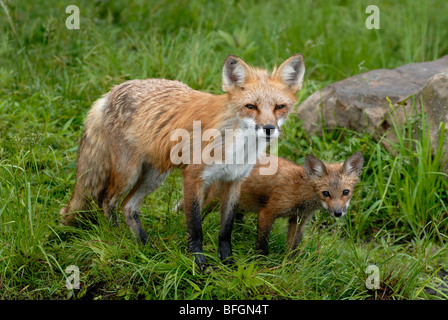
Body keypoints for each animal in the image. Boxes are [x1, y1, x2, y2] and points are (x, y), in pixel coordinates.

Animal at [60, 54, 304, 268]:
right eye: (251, 106)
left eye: (279, 107)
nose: (269, 129)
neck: (236, 146)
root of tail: (111, 92)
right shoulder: (193, 177)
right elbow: (195, 227)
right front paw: (200, 264)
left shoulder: (234, 181)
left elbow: (226, 230)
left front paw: (228, 263)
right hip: (128, 172)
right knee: (107, 200)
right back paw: (117, 236)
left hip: (154, 176)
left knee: (128, 207)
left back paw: (145, 246)